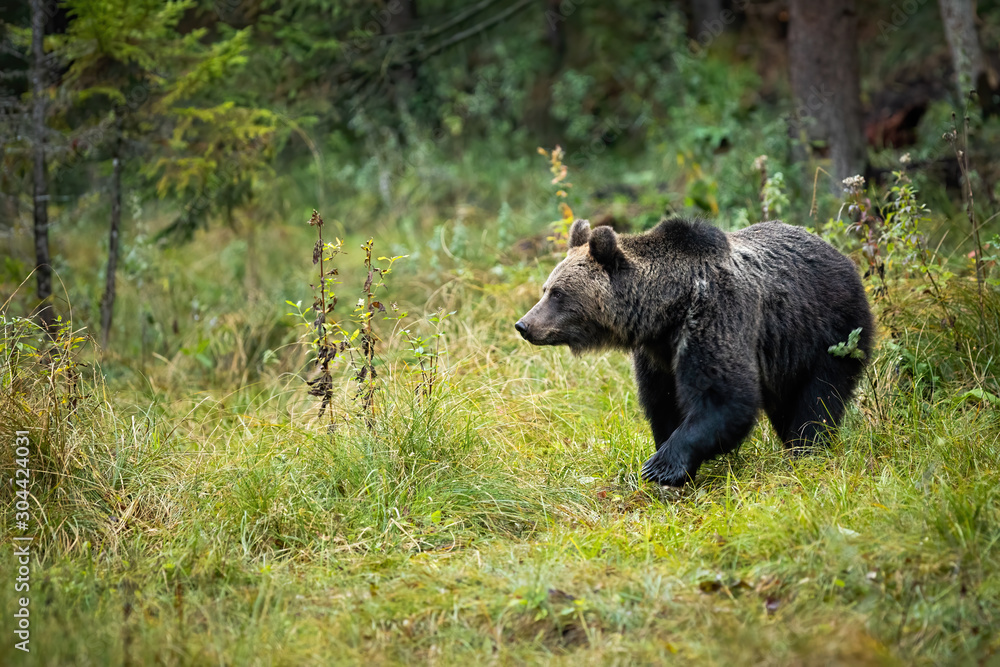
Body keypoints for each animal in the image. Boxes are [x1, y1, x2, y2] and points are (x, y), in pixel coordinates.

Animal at [515, 217, 874, 487]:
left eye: (558, 293)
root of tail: (840, 255)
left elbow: (724, 397)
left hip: (830, 334)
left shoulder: (715, 316)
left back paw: (805, 450)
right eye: (546, 289)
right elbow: (663, 402)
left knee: (817, 399)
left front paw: (661, 465)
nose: (524, 324)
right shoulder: (657, 355)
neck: (666, 310)